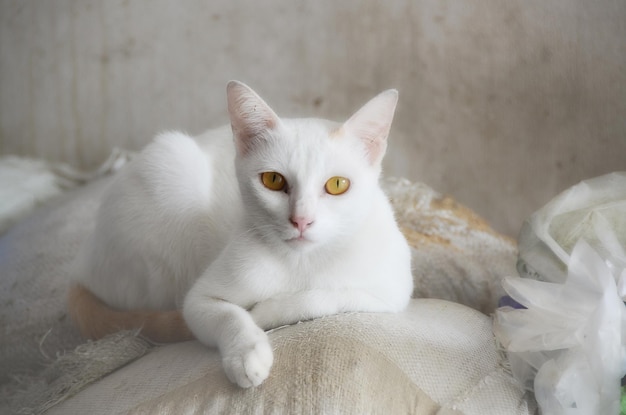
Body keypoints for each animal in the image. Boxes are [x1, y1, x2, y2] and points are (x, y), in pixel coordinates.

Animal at [68, 82, 412, 390]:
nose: (301, 220)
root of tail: (83, 262)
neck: (301, 262)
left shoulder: (394, 291)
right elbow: (225, 314)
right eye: (273, 180)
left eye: (338, 184)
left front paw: (268, 311)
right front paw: (247, 352)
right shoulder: (199, 300)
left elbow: (327, 296)